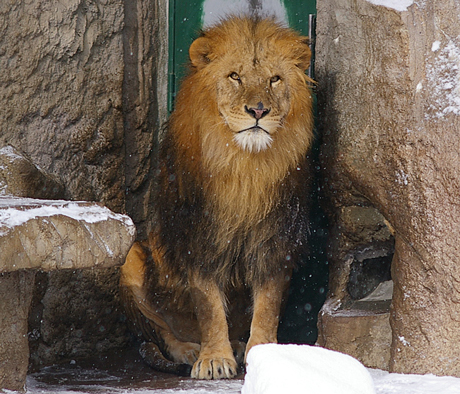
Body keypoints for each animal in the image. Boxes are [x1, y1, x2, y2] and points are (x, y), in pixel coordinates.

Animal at [118, 16, 314, 380]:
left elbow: (268, 305)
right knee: (160, 334)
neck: (245, 167)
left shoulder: (276, 239)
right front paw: (212, 359)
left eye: (274, 79)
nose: (258, 110)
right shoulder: (199, 237)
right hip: (131, 258)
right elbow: (208, 305)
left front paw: (262, 353)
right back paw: (190, 349)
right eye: (235, 76)